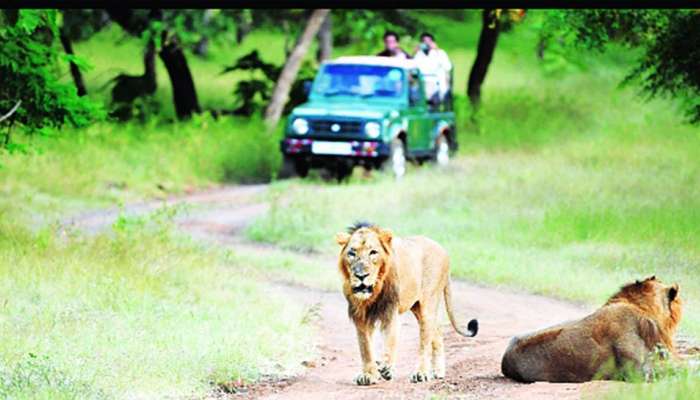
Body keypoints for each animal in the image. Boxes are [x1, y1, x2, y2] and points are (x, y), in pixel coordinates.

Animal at [332, 222, 476, 384]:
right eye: (352, 253)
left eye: (373, 252)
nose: (361, 276)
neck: (374, 290)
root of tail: (443, 250)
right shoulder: (360, 316)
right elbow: (365, 347)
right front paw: (369, 374)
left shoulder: (390, 311)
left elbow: (390, 340)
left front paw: (386, 368)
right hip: (417, 307)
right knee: (437, 333)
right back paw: (438, 371)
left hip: (428, 305)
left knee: (425, 342)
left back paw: (421, 373)